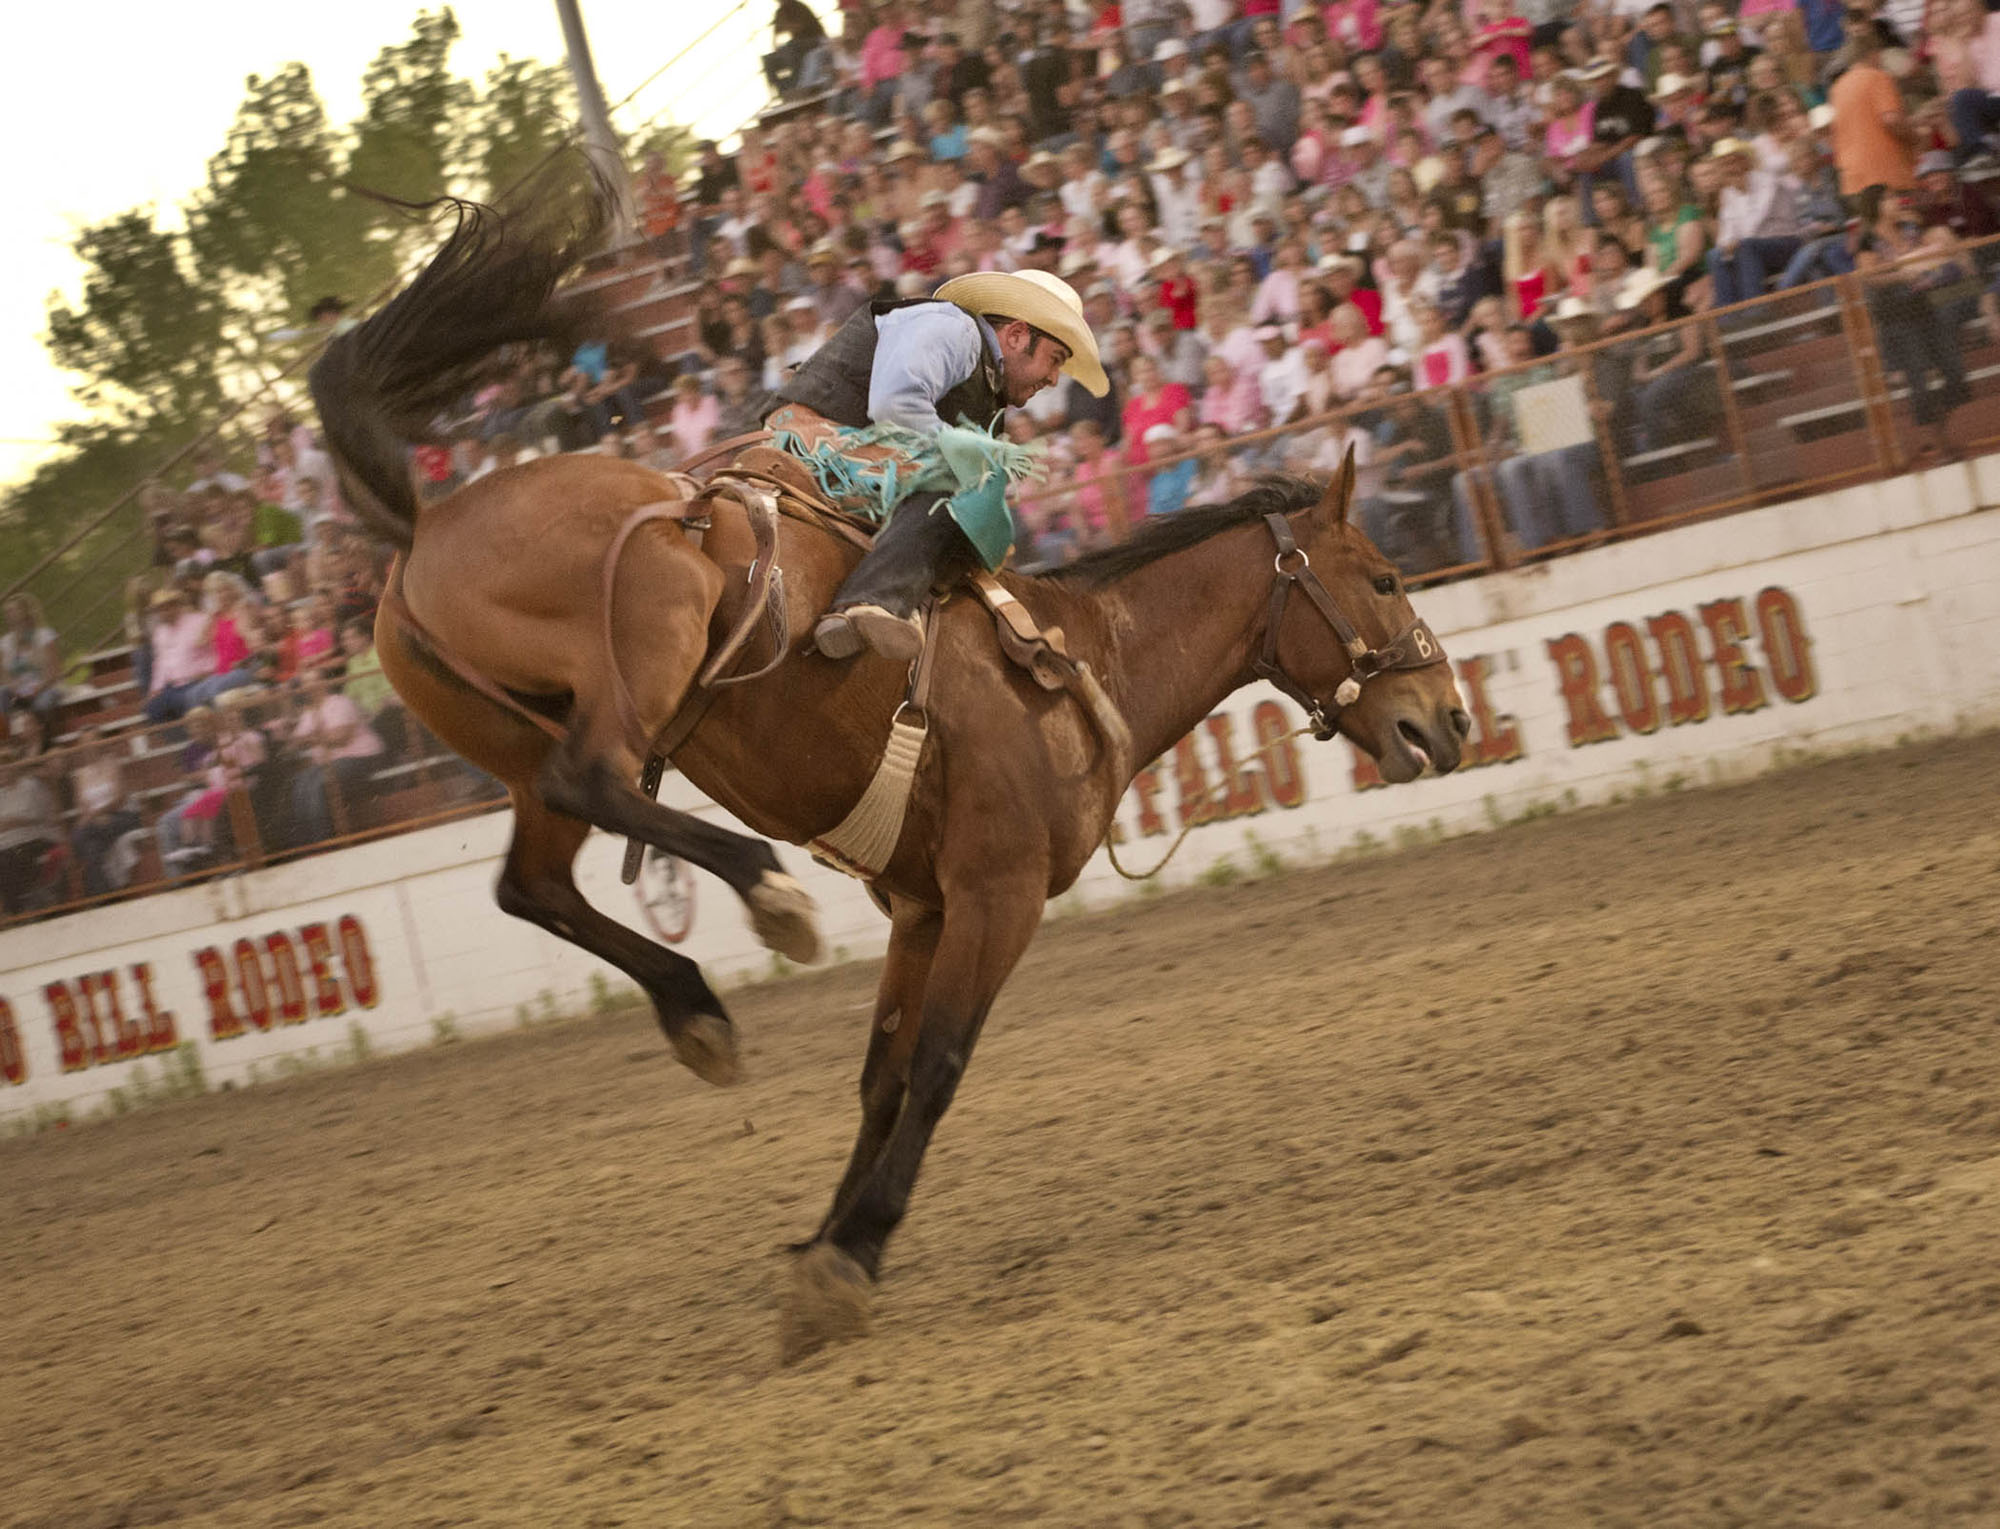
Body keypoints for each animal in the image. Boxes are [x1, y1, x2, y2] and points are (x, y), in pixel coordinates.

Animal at [312, 188, 1472, 1360]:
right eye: (1383, 577)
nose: (1450, 718)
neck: (1084, 654)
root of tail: (427, 520)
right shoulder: (996, 893)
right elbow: (942, 1065)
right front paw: (852, 1257)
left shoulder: (920, 907)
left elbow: (884, 1075)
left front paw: (819, 1243)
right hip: (649, 646)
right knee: (590, 782)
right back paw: (768, 897)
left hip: (512, 736)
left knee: (533, 876)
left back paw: (698, 1014)